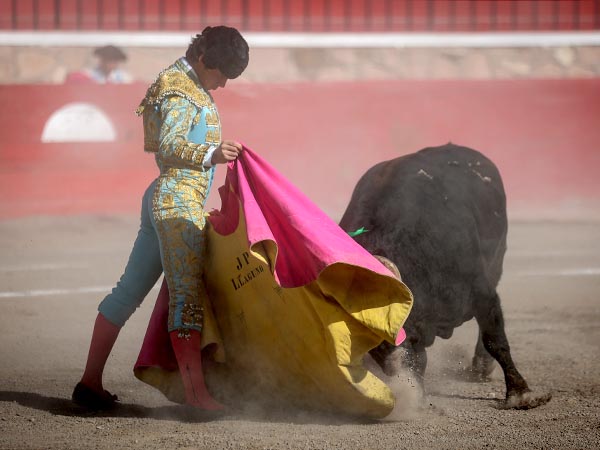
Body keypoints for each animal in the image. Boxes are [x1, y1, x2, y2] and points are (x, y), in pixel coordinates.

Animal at [340, 144, 552, 412]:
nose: (393, 367)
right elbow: (419, 359)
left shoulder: (483, 294)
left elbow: (496, 340)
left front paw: (521, 395)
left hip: (496, 265)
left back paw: (482, 367)